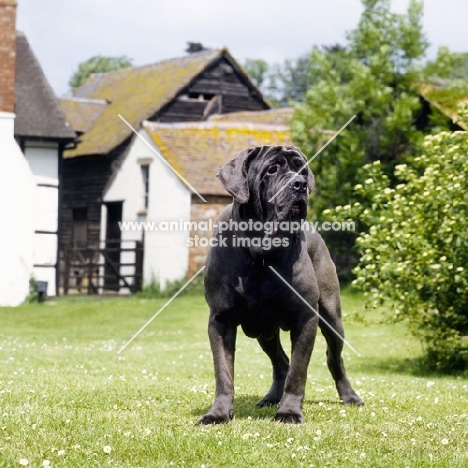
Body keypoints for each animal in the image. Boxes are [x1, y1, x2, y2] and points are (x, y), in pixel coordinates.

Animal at [197, 146, 362, 424]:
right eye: (271, 170)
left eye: (302, 170)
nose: (300, 184)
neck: (260, 252)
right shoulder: (221, 320)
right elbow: (223, 371)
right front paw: (218, 413)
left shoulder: (305, 318)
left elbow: (298, 371)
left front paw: (289, 412)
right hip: (264, 330)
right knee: (280, 361)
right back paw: (271, 398)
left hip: (332, 317)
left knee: (333, 358)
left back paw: (350, 396)